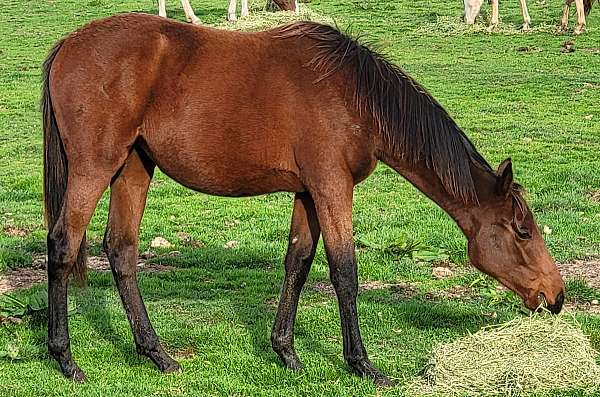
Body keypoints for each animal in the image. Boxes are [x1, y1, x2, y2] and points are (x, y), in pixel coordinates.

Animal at [41, 13, 564, 386]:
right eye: (522, 231)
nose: (555, 296)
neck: (354, 94)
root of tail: (68, 44)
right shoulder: (332, 187)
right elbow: (344, 272)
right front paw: (361, 364)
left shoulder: (308, 192)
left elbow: (298, 262)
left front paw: (286, 352)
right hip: (95, 167)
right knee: (64, 244)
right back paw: (65, 359)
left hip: (133, 166)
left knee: (121, 250)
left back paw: (157, 354)